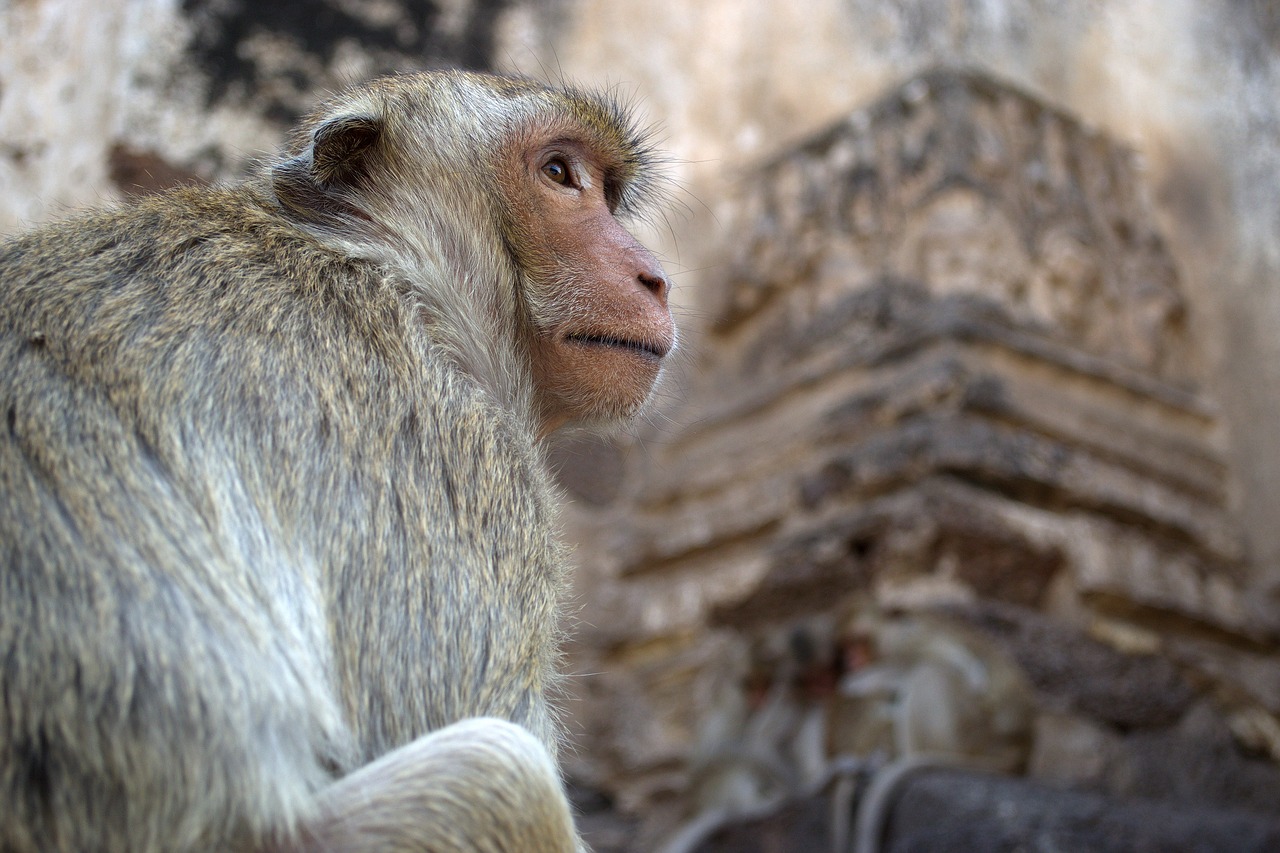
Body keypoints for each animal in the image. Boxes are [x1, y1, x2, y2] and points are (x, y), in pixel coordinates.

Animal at [0, 69, 680, 845]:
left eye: (608, 190)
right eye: (561, 174)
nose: (654, 277)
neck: (392, 270)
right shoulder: (448, 452)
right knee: (499, 777)